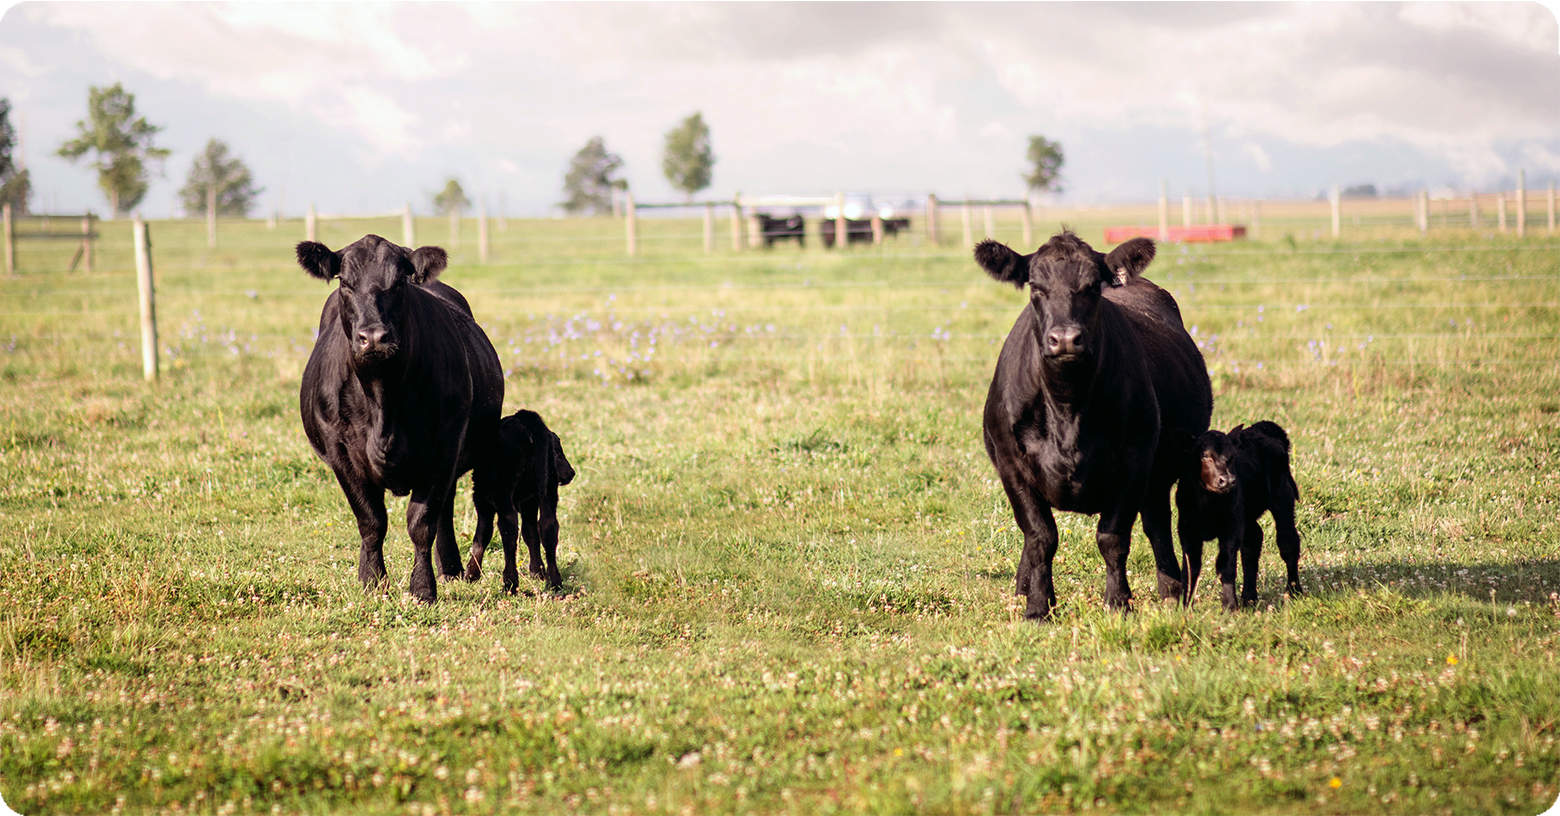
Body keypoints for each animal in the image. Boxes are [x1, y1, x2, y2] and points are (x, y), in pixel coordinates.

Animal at [294, 232, 502, 602]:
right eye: (345, 281)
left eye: (400, 281)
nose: (374, 337)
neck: (383, 401)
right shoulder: (340, 452)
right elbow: (370, 520)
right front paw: (373, 581)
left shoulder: (445, 446)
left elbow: (422, 522)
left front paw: (423, 588)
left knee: (445, 510)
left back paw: (450, 568)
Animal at [458, 411, 577, 589]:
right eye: (557, 453)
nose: (571, 473)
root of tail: (525, 419)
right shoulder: (529, 502)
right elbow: (530, 532)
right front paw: (537, 572)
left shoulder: (482, 500)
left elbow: (482, 536)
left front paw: (471, 574)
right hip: (548, 489)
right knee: (548, 525)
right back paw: (554, 582)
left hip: (503, 490)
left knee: (509, 525)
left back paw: (510, 581)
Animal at [973, 229, 1216, 620]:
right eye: (1035, 286)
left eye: (1091, 286)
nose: (1065, 339)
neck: (1068, 409)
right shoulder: (1011, 466)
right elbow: (1040, 537)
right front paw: (1037, 606)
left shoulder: (1135, 463)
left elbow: (1112, 538)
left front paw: (1118, 602)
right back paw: (1023, 587)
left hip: (1160, 471)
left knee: (1157, 523)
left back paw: (1171, 590)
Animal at [1179, 424, 1304, 608]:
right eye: (1204, 455)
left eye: (1232, 456)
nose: (1228, 480)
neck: (1208, 504)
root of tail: (1265, 427)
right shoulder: (1187, 529)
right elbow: (1191, 567)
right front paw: (1185, 605)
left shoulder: (1231, 526)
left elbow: (1226, 564)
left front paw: (1229, 606)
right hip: (1247, 515)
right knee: (1253, 541)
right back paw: (1249, 598)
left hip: (1283, 495)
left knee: (1288, 542)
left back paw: (1294, 590)